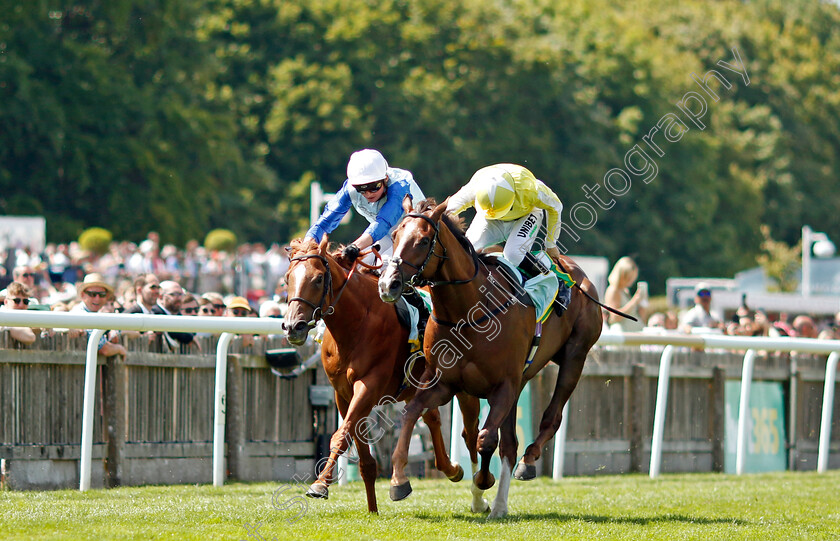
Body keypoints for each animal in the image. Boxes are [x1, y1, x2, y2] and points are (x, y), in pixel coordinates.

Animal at [286, 238, 476, 512]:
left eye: (319, 278)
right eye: (287, 278)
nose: (293, 327)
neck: (356, 323)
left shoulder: (369, 386)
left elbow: (341, 436)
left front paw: (320, 484)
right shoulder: (343, 394)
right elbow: (361, 452)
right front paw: (372, 509)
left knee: (472, 430)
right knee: (432, 418)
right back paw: (450, 469)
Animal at [380, 197, 604, 516]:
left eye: (423, 240)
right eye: (395, 235)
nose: (389, 284)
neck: (468, 311)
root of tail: (575, 271)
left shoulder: (503, 385)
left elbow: (486, 440)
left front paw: (483, 480)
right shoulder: (444, 383)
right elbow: (413, 413)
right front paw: (399, 480)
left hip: (574, 356)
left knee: (551, 417)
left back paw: (527, 463)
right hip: (521, 381)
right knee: (506, 442)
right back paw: (499, 505)